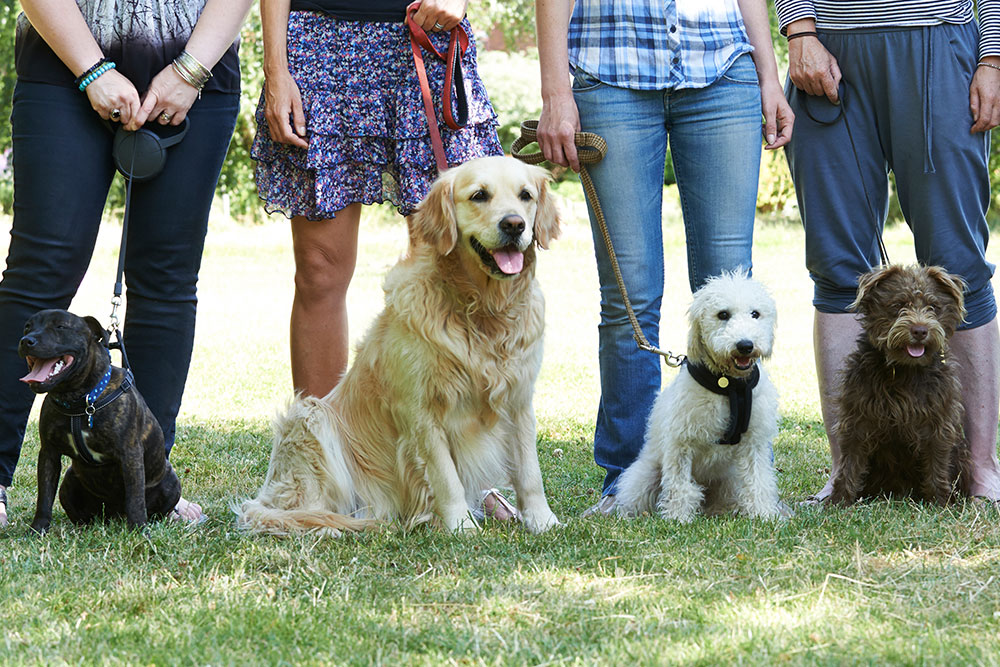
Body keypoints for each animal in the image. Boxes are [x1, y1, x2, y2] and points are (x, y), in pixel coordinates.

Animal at [19, 310, 180, 536]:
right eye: (27, 327)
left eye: (60, 327)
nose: (27, 340)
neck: (81, 401)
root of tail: (115, 515)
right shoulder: (49, 454)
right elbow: (44, 496)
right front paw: (38, 530)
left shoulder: (130, 455)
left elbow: (135, 499)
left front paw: (139, 531)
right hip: (69, 481)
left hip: (171, 482)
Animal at [235, 157, 564, 536]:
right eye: (479, 195)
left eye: (525, 195)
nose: (514, 224)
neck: (482, 309)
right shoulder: (421, 410)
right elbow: (446, 478)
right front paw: (461, 527)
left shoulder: (519, 400)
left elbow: (530, 472)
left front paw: (543, 521)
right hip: (310, 417)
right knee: (298, 509)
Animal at [616, 272, 780, 520]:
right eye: (723, 314)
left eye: (755, 314)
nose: (745, 345)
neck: (728, 386)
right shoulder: (681, 442)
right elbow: (679, 485)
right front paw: (678, 517)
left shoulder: (754, 442)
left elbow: (757, 479)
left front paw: (763, 514)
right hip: (645, 475)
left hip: (730, 480)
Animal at [828, 264, 968, 504]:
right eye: (899, 305)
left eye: (933, 307)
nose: (920, 330)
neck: (905, 369)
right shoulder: (857, 416)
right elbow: (850, 462)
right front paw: (839, 500)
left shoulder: (939, 420)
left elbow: (937, 461)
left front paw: (941, 502)